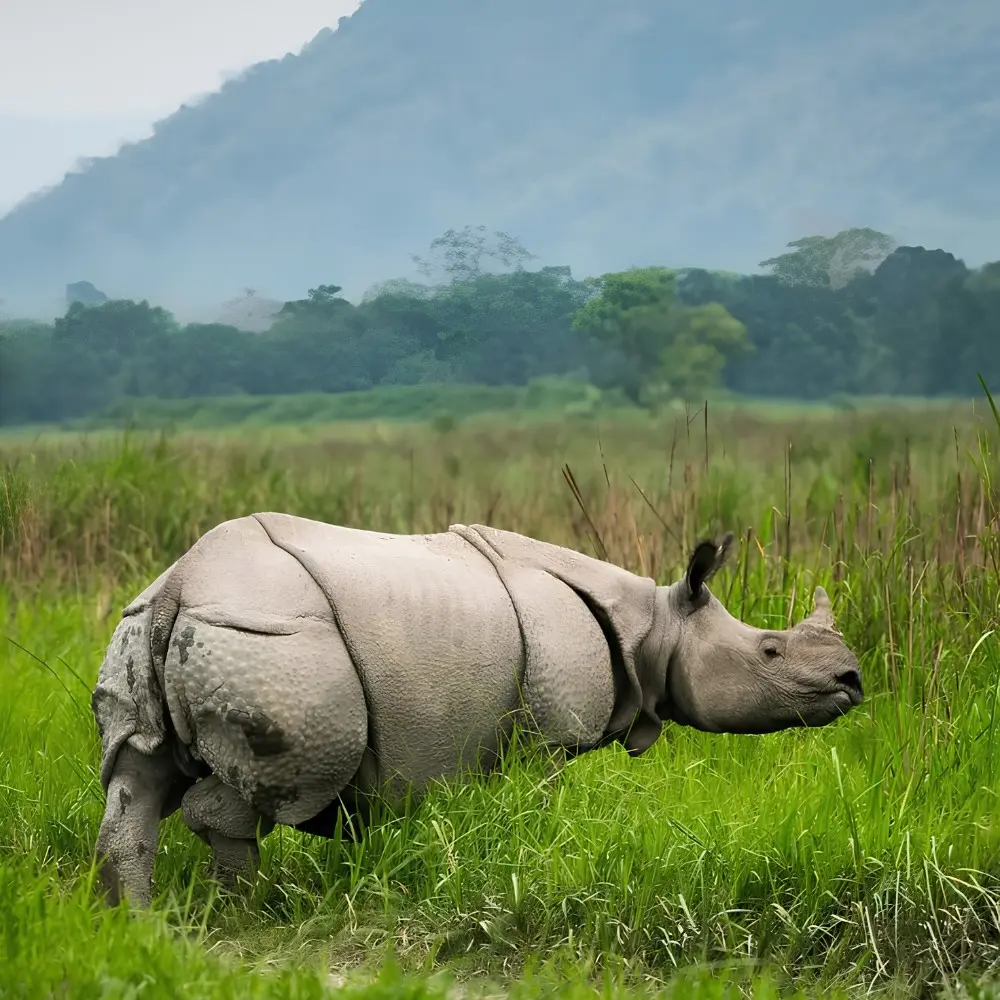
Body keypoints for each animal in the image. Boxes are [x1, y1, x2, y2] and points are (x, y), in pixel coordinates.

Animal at [91, 513, 863, 907]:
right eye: (769, 652)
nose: (852, 680)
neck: (654, 624)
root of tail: (181, 586)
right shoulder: (550, 733)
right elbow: (544, 800)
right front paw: (548, 848)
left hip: (144, 625)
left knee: (137, 776)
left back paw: (137, 919)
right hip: (279, 645)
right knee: (269, 789)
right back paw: (247, 908)